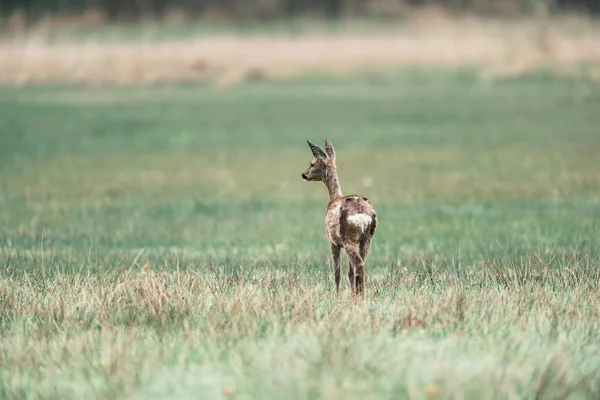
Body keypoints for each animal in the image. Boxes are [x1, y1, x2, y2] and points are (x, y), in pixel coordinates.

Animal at [302, 138, 378, 296]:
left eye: (312, 163)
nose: (304, 175)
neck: (334, 197)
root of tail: (361, 214)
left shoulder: (333, 241)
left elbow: (337, 273)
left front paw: (335, 295)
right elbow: (348, 272)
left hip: (347, 238)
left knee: (358, 264)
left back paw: (359, 298)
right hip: (367, 239)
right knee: (360, 265)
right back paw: (360, 296)